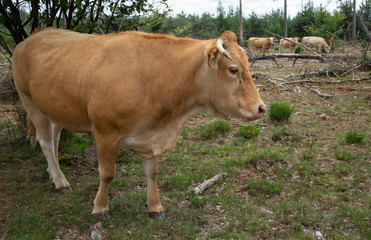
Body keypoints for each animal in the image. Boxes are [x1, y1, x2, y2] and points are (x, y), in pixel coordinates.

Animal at [12, 27, 268, 218]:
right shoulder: (105, 132)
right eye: (233, 69)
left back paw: (54, 172)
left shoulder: (154, 136)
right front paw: (100, 207)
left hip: (54, 107)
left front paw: (154, 207)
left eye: (247, 66)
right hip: (29, 100)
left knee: (54, 139)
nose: (261, 108)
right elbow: (107, 173)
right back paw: (60, 182)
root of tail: (35, 35)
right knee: (45, 141)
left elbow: (151, 173)